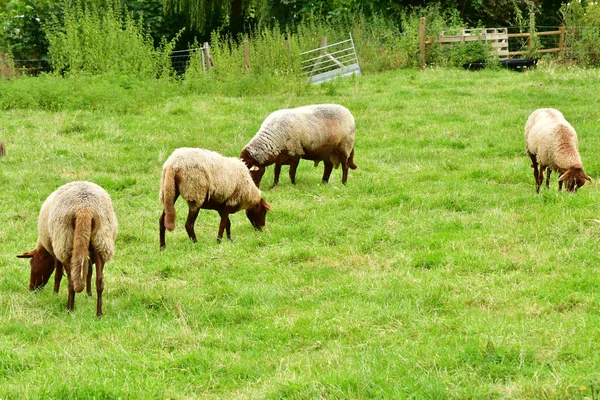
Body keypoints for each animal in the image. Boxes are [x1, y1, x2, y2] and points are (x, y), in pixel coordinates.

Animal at [17, 180, 118, 316]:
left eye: (31, 263)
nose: (32, 289)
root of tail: (85, 208)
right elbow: (89, 272)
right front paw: (89, 294)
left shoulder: (56, 252)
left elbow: (58, 274)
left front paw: (55, 293)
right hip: (101, 240)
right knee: (99, 281)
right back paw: (99, 314)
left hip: (64, 242)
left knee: (71, 282)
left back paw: (69, 309)